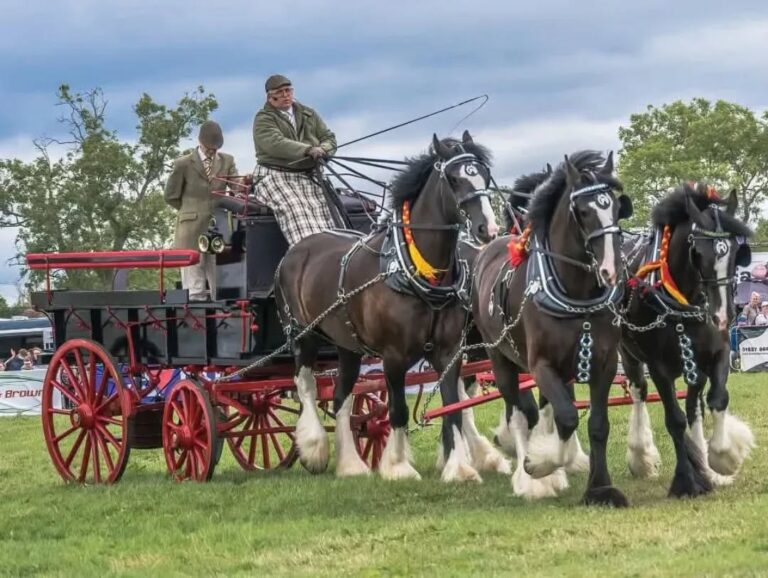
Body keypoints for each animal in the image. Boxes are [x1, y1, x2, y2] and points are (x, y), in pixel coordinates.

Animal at [276, 131, 501, 482]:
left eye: (484, 175)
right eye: (453, 179)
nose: (488, 229)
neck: (416, 272)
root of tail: (296, 249)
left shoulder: (449, 351)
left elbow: (453, 406)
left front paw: (459, 467)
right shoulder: (393, 356)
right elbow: (398, 409)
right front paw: (398, 466)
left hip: (347, 344)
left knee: (341, 397)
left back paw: (351, 464)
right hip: (303, 335)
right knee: (306, 386)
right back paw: (314, 447)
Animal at [472, 151, 634, 505]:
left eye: (616, 207)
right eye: (584, 212)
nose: (612, 269)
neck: (576, 296)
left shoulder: (603, 363)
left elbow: (596, 424)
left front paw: (599, 487)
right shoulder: (541, 365)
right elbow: (567, 417)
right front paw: (539, 465)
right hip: (500, 360)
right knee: (520, 414)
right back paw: (526, 475)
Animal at [618, 182, 755, 497]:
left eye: (736, 252)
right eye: (698, 252)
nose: (723, 315)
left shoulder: (719, 351)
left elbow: (717, 399)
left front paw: (721, 460)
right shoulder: (658, 367)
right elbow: (675, 420)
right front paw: (686, 480)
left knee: (695, 406)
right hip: (629, 355)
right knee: (639, 392)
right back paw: (642, 456)